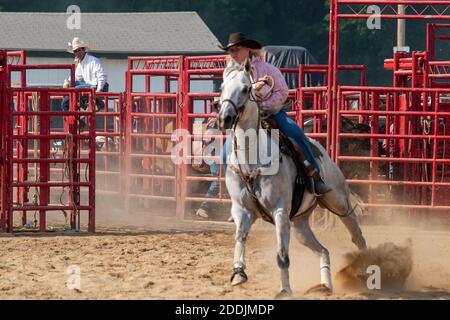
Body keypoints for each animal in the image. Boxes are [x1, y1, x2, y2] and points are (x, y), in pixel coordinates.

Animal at [218, 58, 370, 298]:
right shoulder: (241, 210)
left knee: (356, 232)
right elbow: (240, 239)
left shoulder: (280, 211)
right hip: (299, 225)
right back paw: (325, 285)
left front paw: (284, 289)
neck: (253, 159)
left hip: (338, 201)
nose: (225, 117)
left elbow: (282, 255)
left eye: (245, 88)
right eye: (222, 86)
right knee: (323, 250)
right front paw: (238, 273)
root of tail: (320, 149)